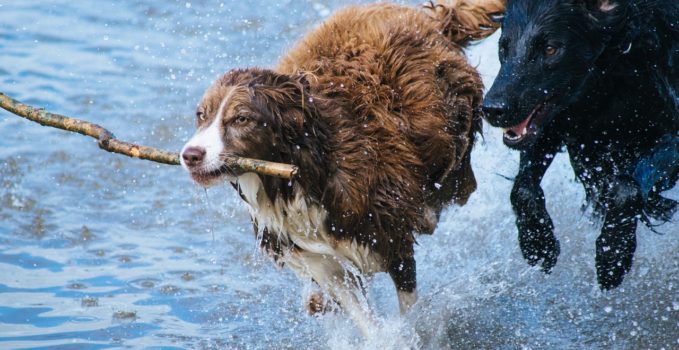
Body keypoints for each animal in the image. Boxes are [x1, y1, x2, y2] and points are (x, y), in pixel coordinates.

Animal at [181, 0, 504, 334]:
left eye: (241, 119)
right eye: (201, 115)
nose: (190, 155)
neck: (300, 173)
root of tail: (429, 19)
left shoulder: (391, 237)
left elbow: (408, 307)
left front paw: (412, 334)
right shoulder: (319, 257)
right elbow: (361, 315)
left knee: (456, 178)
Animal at [480, 0, 676, 290]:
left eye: (551, 49)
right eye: (504, 47)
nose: (492, 109)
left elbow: (626, 188)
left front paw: (613, 255)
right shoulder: (555, 125)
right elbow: (522, 188)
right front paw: (538, 243)